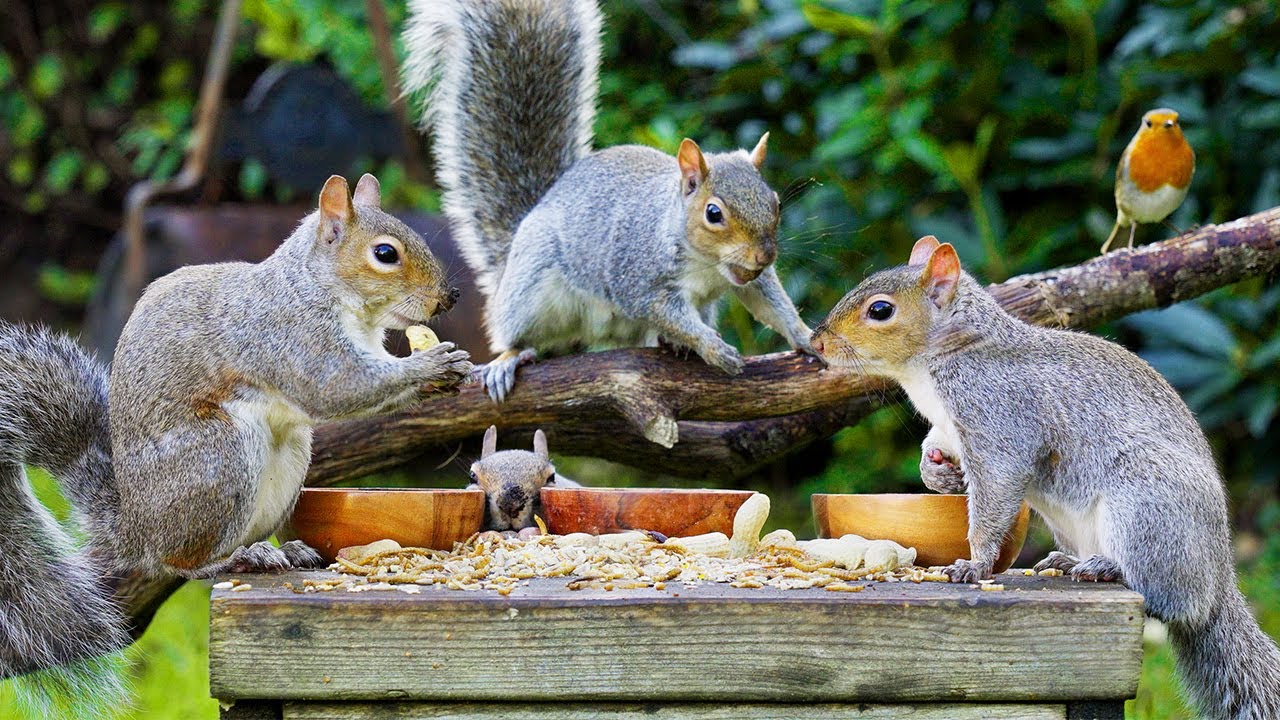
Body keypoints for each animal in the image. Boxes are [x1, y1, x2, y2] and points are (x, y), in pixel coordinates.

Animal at [0, 174, 473, 685]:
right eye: (385, 254)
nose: (449, 297)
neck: (317, 287)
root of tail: (135, 529)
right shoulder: (290, 337)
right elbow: (336, 389)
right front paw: (430, 367)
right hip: (219, 456)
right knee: (179, 562)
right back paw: (233, 558)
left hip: (289, 458)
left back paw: (285, 551)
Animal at [402, 0, 815, 403]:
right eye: (714, 213)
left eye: (776, 203)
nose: (764, 256)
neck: (705, 263)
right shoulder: (639, 278)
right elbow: (666, 311)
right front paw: (712, 347)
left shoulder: (748, 280)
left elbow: (770, 302)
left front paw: (806, 336)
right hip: (530, 289)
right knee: (519, 334)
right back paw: (511, 357)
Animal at [810, 235, 1280, 719]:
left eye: (881, 310)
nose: (817, 342)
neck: (943, 359)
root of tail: (1219, 576)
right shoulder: (949, 426)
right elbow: (937, 446)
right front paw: (936, 471)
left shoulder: (1001, 419)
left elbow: (996, 494)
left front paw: (974, 564)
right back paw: (1069, 562)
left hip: (1145, 504)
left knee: (1170, 597)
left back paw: (1108, 568)